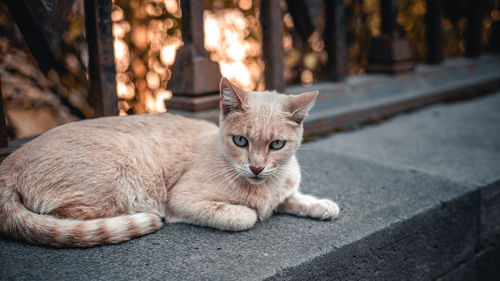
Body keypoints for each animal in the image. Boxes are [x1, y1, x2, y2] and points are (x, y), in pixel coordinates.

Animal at [0, 77, 340, 246]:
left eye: (276, 145)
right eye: (241, 141)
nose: (256, 167)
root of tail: (9, 162)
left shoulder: (282, 190)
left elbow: (294, 198)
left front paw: (322, 205)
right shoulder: (182, 200)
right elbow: (246, 216)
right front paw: (251, 211)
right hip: (124, 174)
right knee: (65, 218)